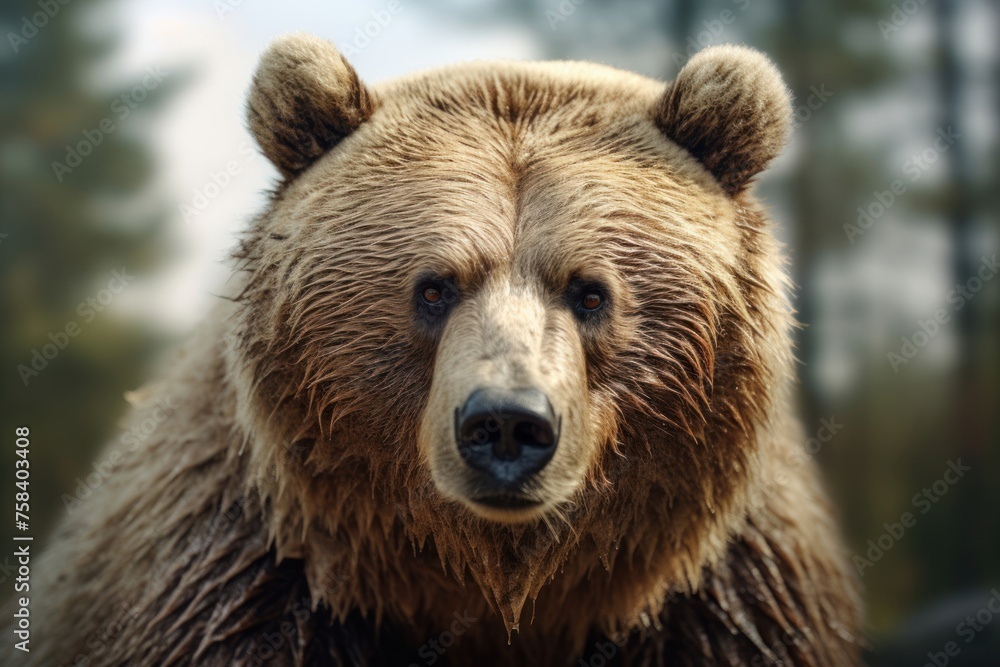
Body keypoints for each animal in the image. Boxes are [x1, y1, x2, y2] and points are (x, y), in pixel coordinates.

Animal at [8, 34, 862, 666]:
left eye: (591, 292)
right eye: (434, 287)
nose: (508, 425)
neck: (498, 590)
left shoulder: (729, 601)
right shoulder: (238, 585)